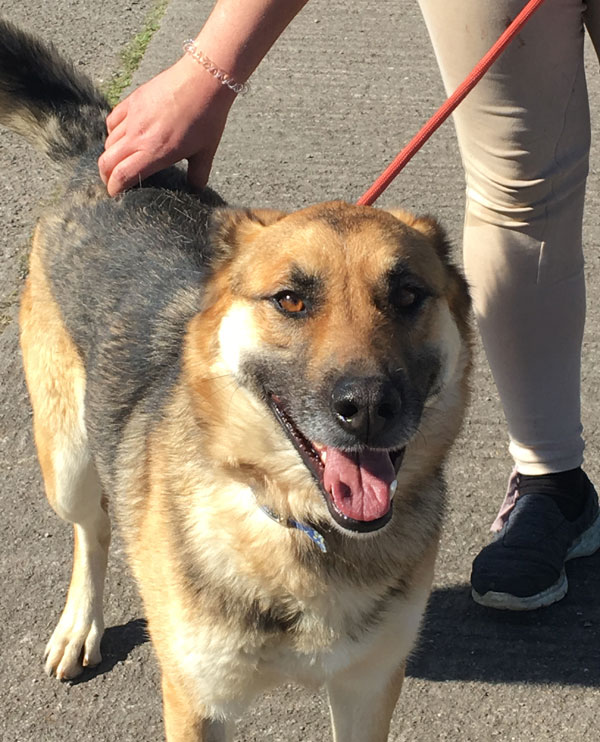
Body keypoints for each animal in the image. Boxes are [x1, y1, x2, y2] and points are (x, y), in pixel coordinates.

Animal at [0, 17, 472, 742]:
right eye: (291, 300)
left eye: (407, 295)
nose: (368, 406)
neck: (302, 528)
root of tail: (97, 151)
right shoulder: (198, 702)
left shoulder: (366, 691)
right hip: (70, 461)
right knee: (92, 527)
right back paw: (81, 622)